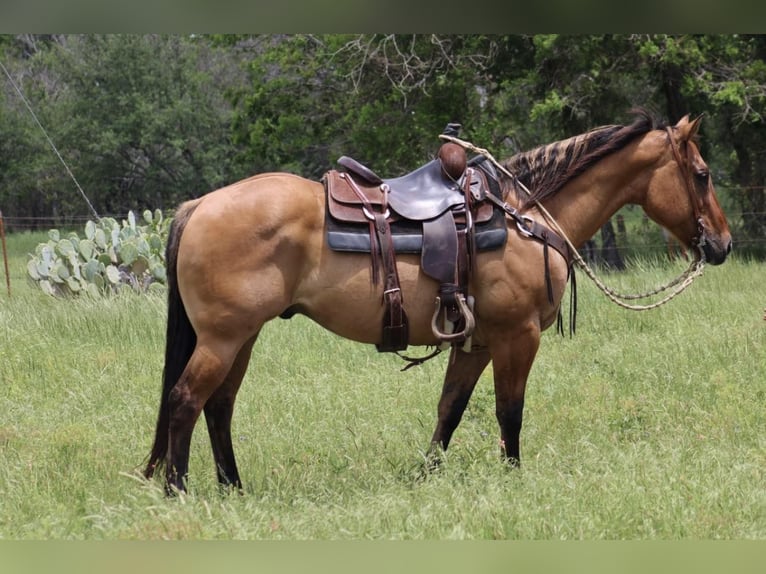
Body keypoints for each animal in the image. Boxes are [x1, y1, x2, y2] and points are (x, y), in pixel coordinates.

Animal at [142, 110, 732, 492]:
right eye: (702, 174)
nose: (722, 244)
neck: (525, 217)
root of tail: (198, 206)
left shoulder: (476, 341)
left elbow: (451, 408)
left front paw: (425, 477)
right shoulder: (518, 336)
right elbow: (509, 411)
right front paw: (513, 481)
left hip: (242, 338)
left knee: (218, 406)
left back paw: (234, 489)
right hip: (223, 339)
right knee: (185, 401)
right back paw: (180, 492)